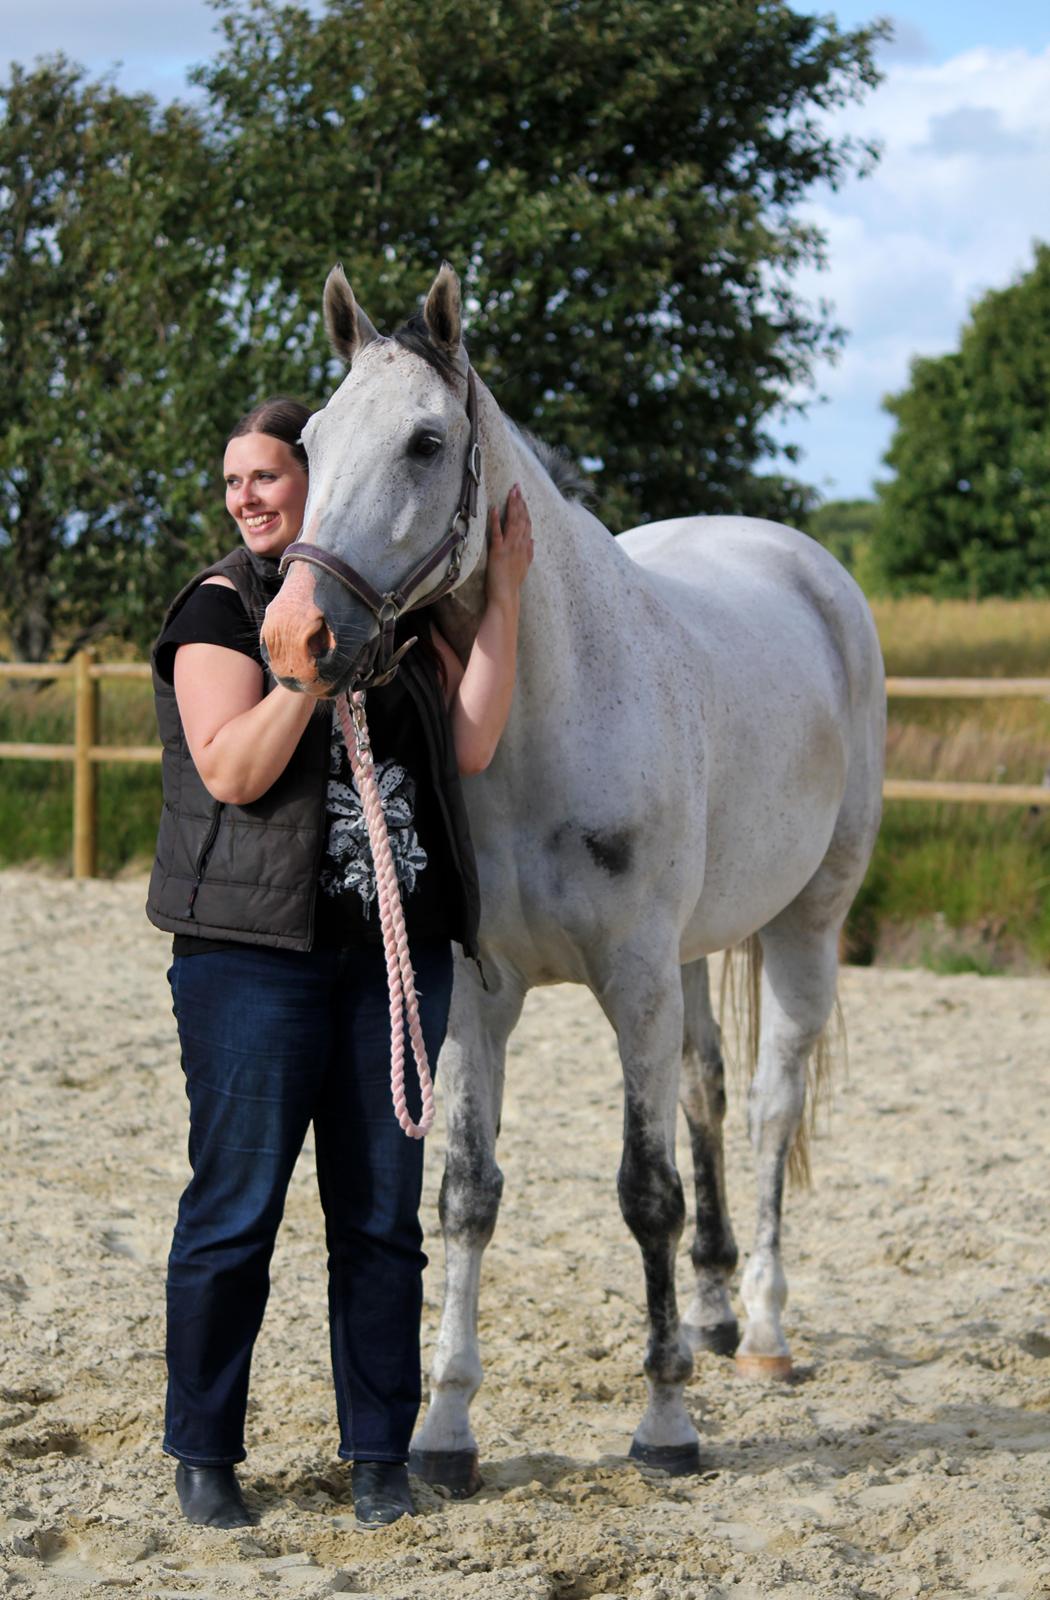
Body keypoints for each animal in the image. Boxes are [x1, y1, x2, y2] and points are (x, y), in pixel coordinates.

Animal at [260, 259, 883, 1484]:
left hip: (806, 926)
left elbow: (645, 1192)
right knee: (705, 1089)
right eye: (310, 439)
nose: (297, 637)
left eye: (425, 441)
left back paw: (764, 1331)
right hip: (692, 955)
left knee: (771, 1108)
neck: (548, 716)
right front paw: (446, 1431)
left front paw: (665, 1424)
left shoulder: (631, 981)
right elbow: (467, 1193)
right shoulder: (477, 995)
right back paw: (716, 1311)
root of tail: (806, 569)